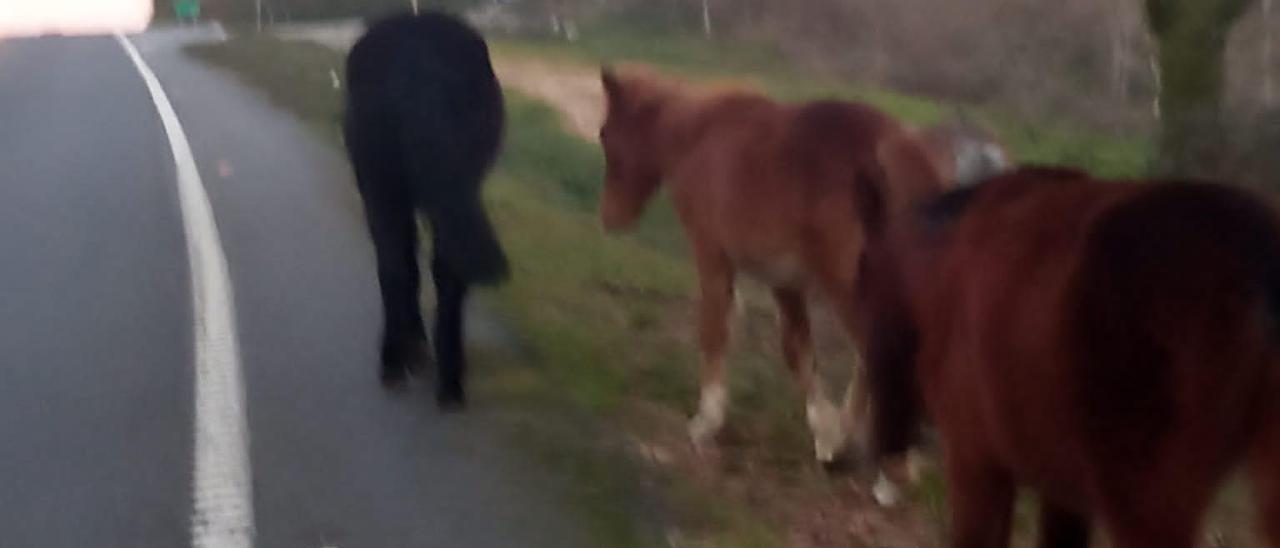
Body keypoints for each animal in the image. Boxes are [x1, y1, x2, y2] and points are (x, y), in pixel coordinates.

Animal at [343, 10, 506, 409]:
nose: (493, 265)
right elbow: (404, 265)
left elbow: (414, 264)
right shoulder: (387, 186)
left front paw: (427, 367)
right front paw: (405, 358)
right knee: (417, 260)